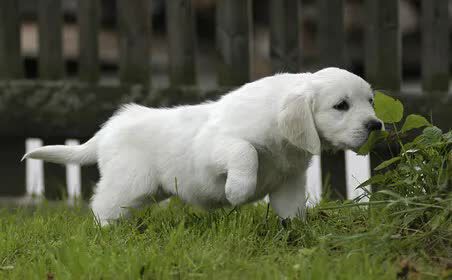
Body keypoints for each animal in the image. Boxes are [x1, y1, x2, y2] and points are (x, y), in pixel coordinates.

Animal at [22, 67, 382, 225]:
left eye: (371, 101)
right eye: (341, 106)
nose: (375, 125)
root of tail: (110, 128)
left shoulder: (289, 180)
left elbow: (291, 210)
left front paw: (296, 232)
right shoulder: (216, 148)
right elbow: (245, 152)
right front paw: (237, 191)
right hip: (128, 184)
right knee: (102, 206)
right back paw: (108, 232)